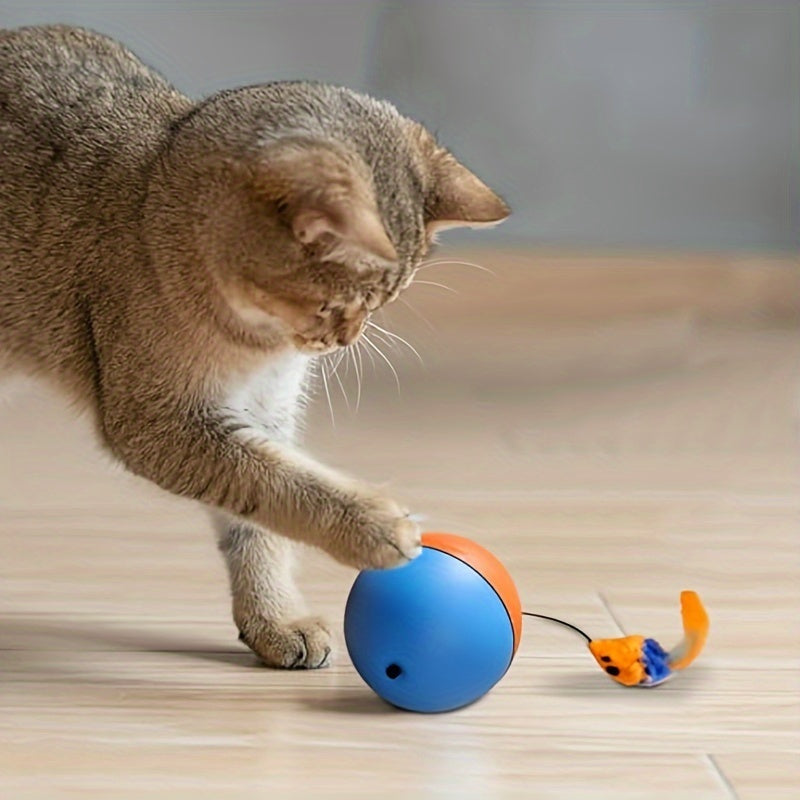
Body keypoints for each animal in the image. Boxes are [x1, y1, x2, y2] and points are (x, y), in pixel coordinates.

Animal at [0, 25, 510, 664]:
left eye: (380, 305)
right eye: (335, 304)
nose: (344, 340)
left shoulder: (264, 411)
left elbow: (259, 522)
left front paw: (275, 619)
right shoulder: (158, 421)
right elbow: (279, 483)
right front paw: (372, 526)